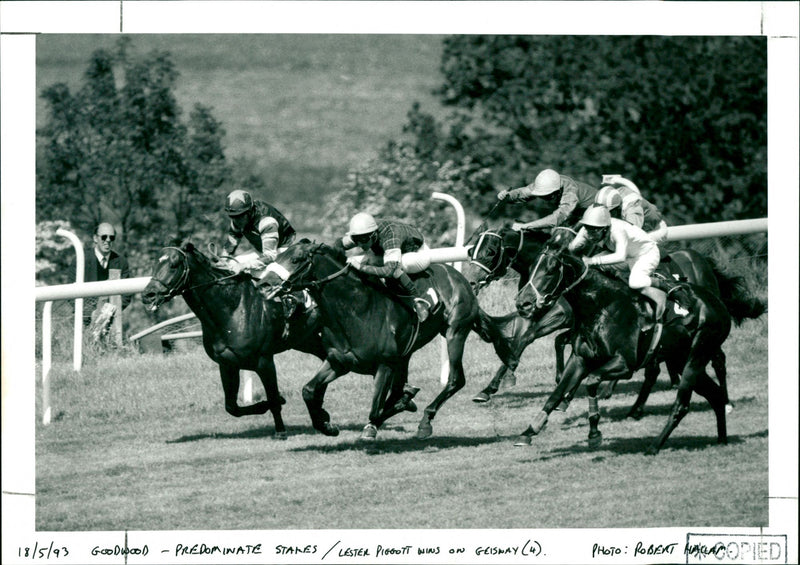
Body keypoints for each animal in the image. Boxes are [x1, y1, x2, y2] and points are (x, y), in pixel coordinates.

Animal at [141, 242, 324, 436]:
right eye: (155, 264)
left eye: (174, 265)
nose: (148, 295)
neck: (232, 308)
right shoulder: (228, 364)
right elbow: (232, 407)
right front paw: (267, 405)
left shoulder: (264, 361)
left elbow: (273, 398)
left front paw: (280, 431)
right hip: (307, 341)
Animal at [260, 240, 516, 438]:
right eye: (278, 255)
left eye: (296, 259)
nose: (263, 283)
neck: (355, 310)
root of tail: (460, 277)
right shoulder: (338, 362)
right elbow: (308, 391)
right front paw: (326, 425)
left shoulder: (384, 364)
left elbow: (376, 409)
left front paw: (385, 416)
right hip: (408, 354)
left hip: (455, 331)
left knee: (455, 380)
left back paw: (425, 421)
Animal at [516, 246, 736, 454]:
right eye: (530, 269)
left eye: (550, 270)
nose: (522, 303)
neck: (602, 306)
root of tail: (718, 302)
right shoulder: (579, 359)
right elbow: (556, 394)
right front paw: (529, 431)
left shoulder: (625, 364)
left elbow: (591, 381)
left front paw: (594, 433)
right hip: (680, 359)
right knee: (714, 395)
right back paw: (722, 439)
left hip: (697, 356)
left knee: (682, 404)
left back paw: (654, 446)